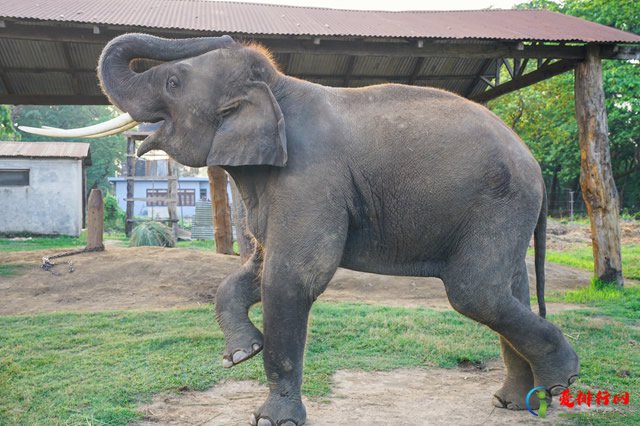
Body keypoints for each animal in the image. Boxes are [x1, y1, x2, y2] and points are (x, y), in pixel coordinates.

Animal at [21, 35, 580, 426]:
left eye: (174, 83)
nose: (230, 35)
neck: (278, 86)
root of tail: (533, 160)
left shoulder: (311, 178)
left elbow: (293, 276)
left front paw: (271, 418)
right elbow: (256, 268)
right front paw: (240, 353)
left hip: (497, 204)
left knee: (475, 292)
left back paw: (561, 384)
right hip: (505, 212)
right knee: (509, 290)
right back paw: (513, 402)